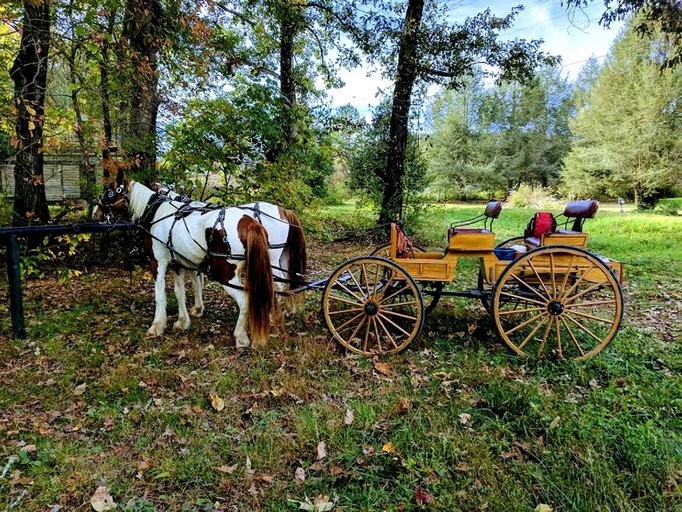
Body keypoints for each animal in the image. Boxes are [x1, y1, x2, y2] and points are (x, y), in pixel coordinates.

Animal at [92, 170, 278, 350]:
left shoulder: (157, 262)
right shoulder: (177, 264)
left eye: (109, 192)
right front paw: (182, 321)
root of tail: (249, 221)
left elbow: (160, 295)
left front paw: (157, 325)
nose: (95, 213)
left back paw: (240, 336)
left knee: (245, 301)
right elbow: (179, 292)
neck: (155, 213)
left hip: (225, 274)